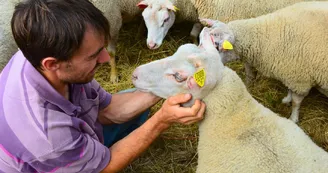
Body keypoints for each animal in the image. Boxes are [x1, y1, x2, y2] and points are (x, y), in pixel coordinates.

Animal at [199, 1, 328, 123]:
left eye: (216, 46)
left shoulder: (300, 80)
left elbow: (296, 102)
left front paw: (293, 118)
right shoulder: (291, 73)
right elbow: (289, 90)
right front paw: (287, 99)